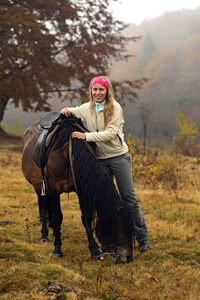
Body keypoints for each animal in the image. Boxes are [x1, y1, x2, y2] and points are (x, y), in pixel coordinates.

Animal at [21, 113, 134, 262]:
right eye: (120, 228)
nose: (129, 257)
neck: (68, 152)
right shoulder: (53, 186)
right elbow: (57, 216)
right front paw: (57, 249)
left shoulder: (81, 188)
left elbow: (86, 217)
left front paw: (94, 251)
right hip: (39, 186)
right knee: (44, 205)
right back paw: (44, 235)